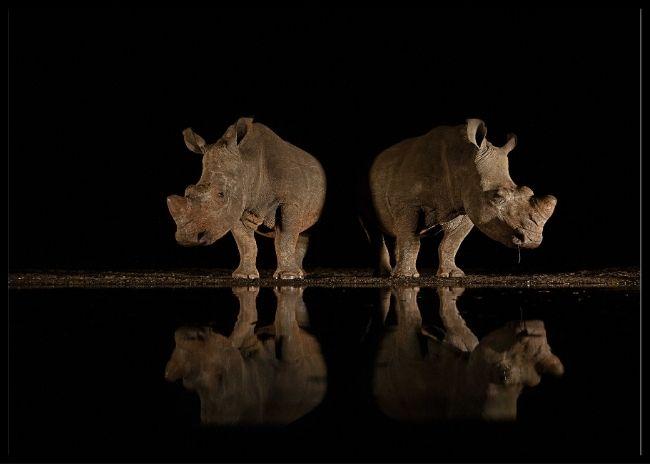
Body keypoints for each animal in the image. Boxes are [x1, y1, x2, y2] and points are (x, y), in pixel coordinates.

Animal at [167, 117, 326, 279]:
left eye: (221, 194)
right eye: (188, 190)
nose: (187, 238)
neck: (248, 165)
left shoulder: (290, 202)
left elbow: (285, 238)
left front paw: (288, 276)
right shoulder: (236, 206)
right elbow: (246, 242)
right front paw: (244, 275)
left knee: (304, 229)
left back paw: (299, 274)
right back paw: (301, 273)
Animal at [367, 119, 557, 277]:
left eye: (529, 192)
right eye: (497, 197)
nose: (533, 240)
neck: (463, 161)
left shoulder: (468, 206)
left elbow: (451, 242)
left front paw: (453, 274)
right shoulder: (408, 203)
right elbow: (411, 238)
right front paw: (406, 276)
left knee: (398, 230)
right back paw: (385, 274)